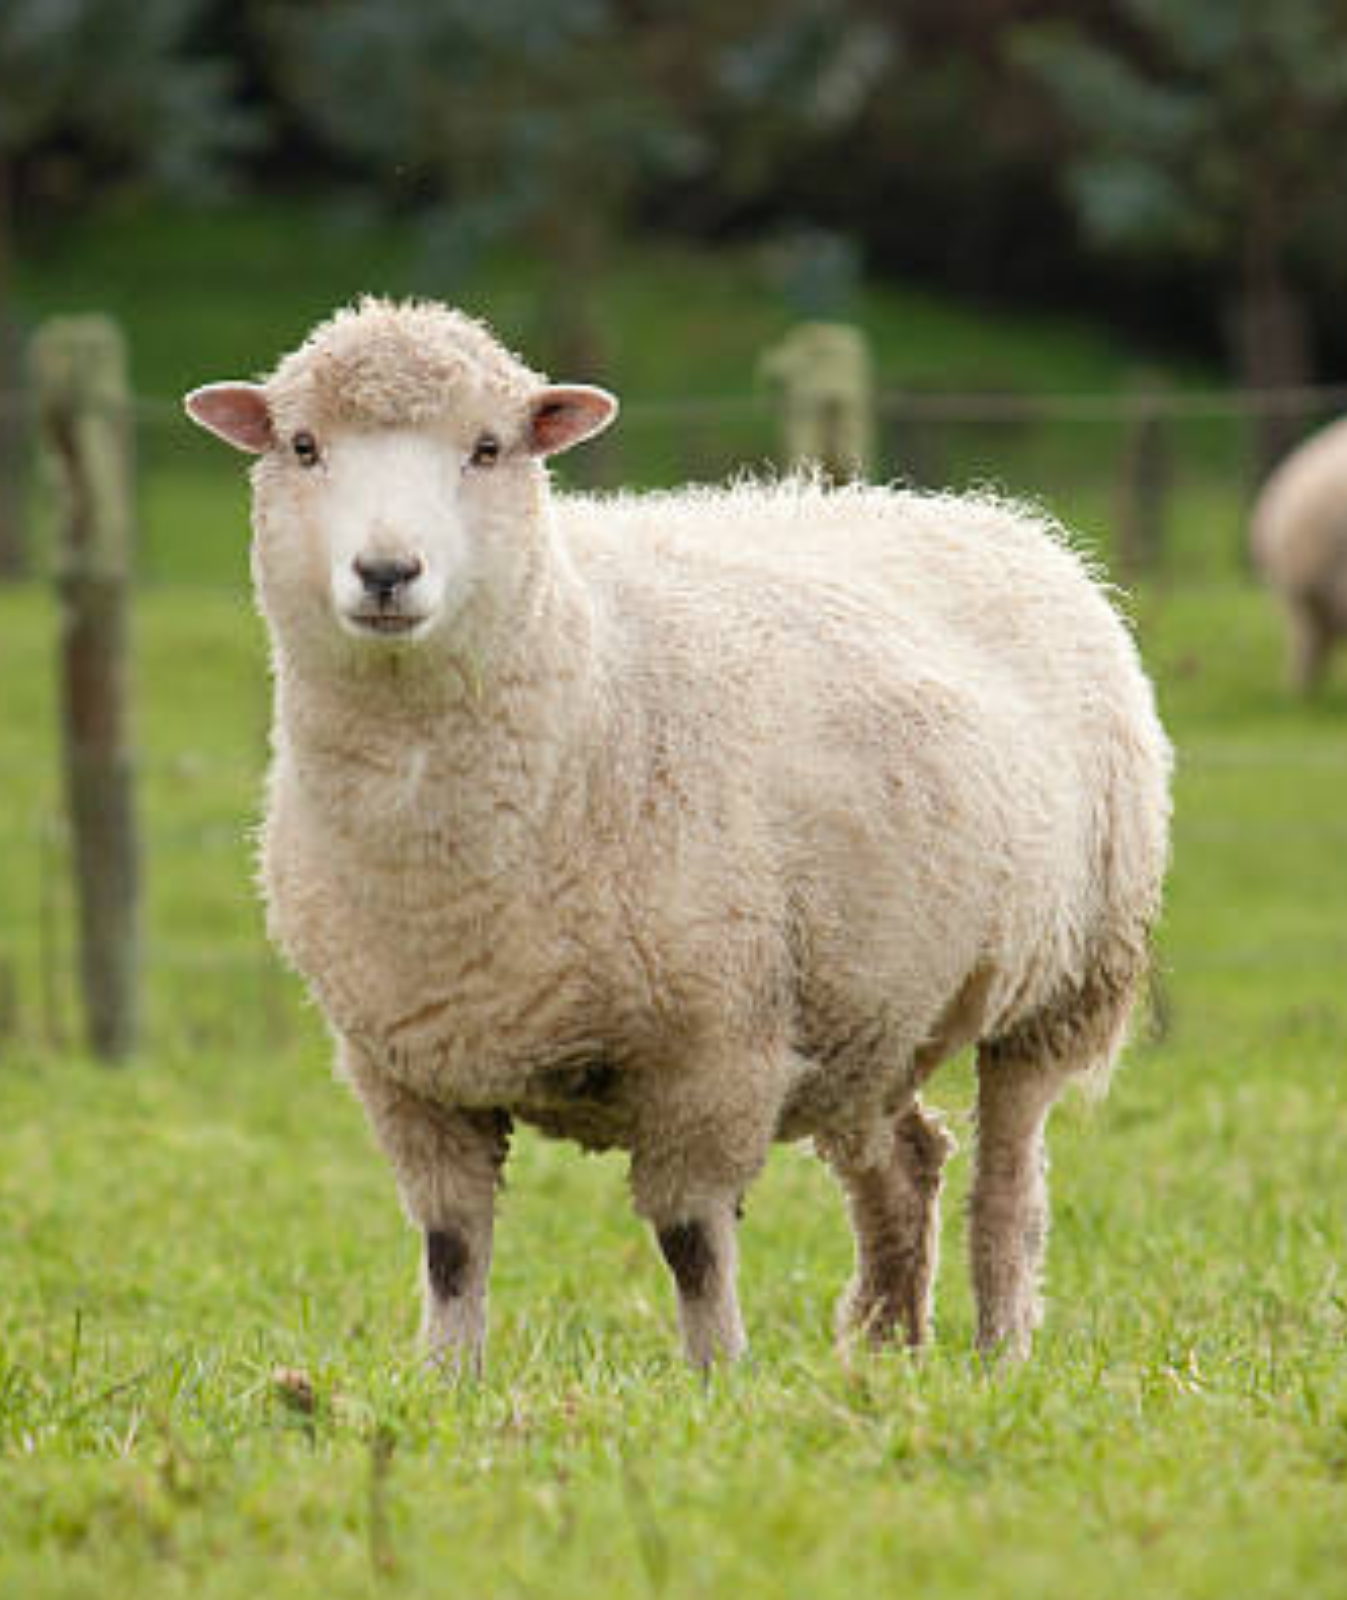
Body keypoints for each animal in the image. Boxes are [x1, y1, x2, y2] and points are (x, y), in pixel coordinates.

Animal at [183, 297, 1172, 1372]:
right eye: (303, 445)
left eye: (488, 448)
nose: (386, 572)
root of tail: (994, 517)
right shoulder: (406, 1069)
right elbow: (451, 1246)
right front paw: (446, 1380)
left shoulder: (715, 1051)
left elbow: (691, 1243)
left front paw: (716, 1378)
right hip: (865, 1007)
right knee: (905, 1162)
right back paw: (884, 1349)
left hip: (1065, 979)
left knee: (1009, 1185)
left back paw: (997, 1351)